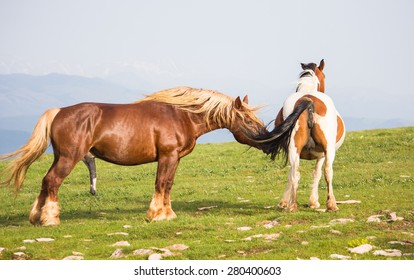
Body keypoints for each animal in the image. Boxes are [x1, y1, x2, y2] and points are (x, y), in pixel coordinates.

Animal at [0, 86, 268, 226]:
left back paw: (37, 217)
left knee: (46, 182)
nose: (266, 139)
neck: (181, 115)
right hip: (68, 158)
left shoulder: (175, 159)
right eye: (247, 119)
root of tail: (58, 112)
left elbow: (168, 185)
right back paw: (51, 219)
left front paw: (167, 214)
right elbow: (161, 183)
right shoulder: (167, 157)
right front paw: (156, 214)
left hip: (60, 157)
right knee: (53, 181)